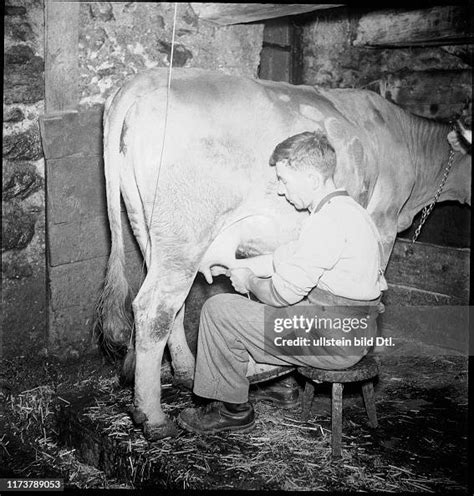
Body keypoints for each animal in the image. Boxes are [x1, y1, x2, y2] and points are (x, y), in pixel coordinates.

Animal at [95, 68, 470, 440]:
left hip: (149, 231)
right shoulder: (383, 223)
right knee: (155, 308)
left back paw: (186, 371)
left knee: (175, 305)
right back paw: (153, 417)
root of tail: (146, 79)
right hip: (184, 233)